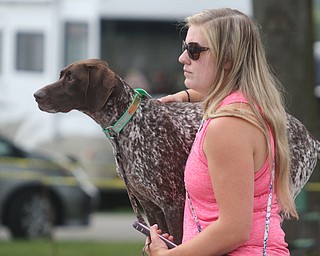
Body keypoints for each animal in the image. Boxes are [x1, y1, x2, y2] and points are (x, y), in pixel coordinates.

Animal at [33, 58, 318, 244]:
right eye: (62, 74)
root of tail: (311, 138)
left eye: (71, 78)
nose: (37, 95)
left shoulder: (174, 202)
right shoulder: (150, 207)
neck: (130, 124)